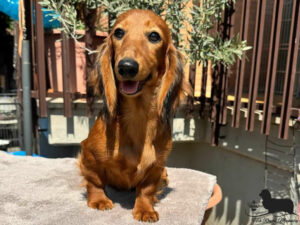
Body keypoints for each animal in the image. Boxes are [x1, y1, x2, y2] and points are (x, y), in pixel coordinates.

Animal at [77, 9, 190, 223]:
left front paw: (145, 209)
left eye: (154, 36)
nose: (127, 67)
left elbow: (146, 190)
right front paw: (98, 200)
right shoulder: (89, 154)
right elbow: (94, 180)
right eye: (119, 33)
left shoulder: (157, 165)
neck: (138, 117)